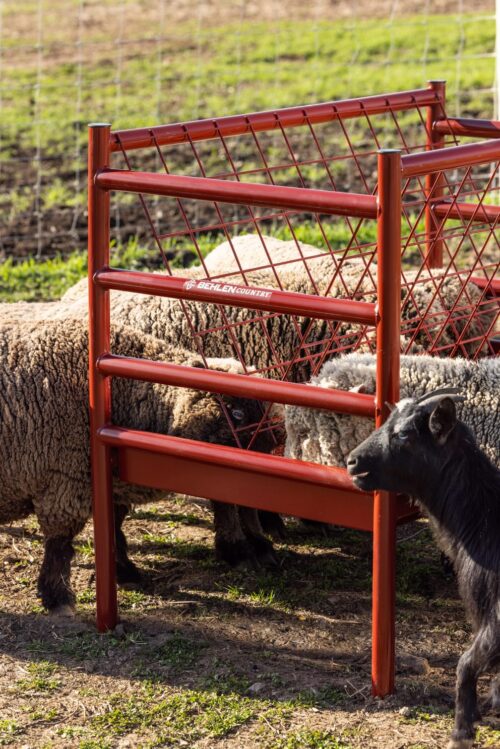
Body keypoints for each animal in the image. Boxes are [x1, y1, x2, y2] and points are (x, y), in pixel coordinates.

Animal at [348, 388, 500, 748]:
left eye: (404, 434)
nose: (352, 461)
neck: (487, 522)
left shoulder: (496, 619)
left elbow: (465, 665)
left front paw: (461, 732)